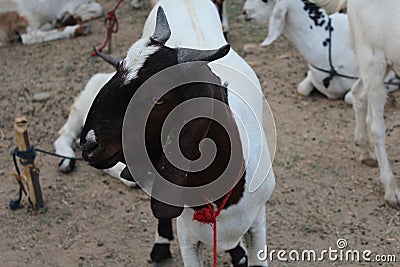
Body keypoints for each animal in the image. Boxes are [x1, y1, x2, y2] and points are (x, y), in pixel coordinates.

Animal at [78, 1, 276, 266]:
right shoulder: (188, 239)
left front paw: (239, 253)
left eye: (159, 98)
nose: (89, 145)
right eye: (116, 74)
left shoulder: (258, 224)